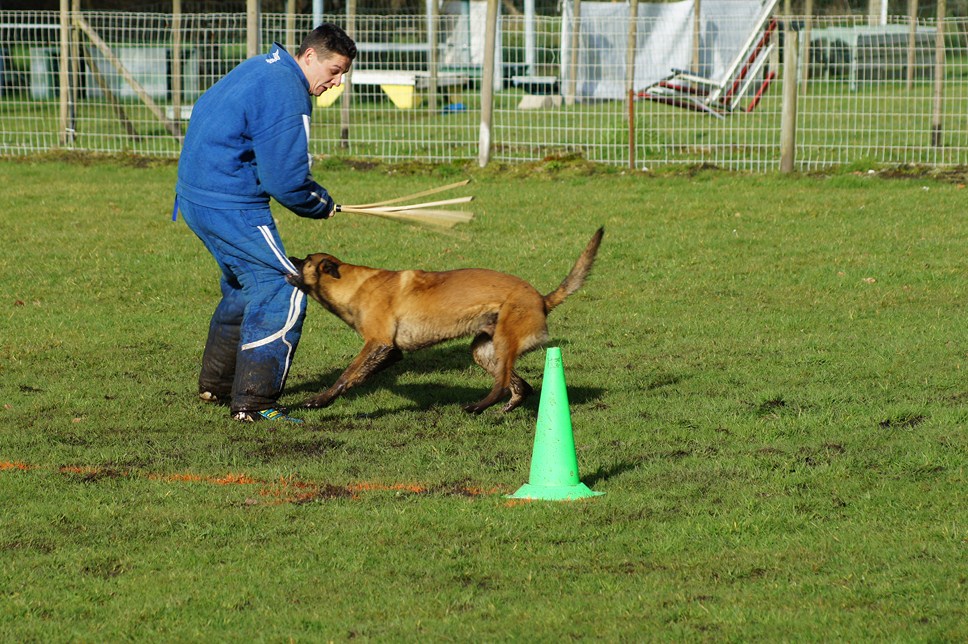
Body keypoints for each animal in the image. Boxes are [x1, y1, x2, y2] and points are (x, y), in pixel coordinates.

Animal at [288, 229, 604, 416]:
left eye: (305, 259)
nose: (288, 255)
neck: (353, 286)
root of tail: (542, 299)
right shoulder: (391, 351)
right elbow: (356, 376)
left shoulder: (378, 343)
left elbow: (346, 375)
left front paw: (319, 400)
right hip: (484, 350)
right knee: (519, 385)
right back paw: (506, 407)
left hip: (504, 341)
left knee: (502, 384)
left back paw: (478, 406)